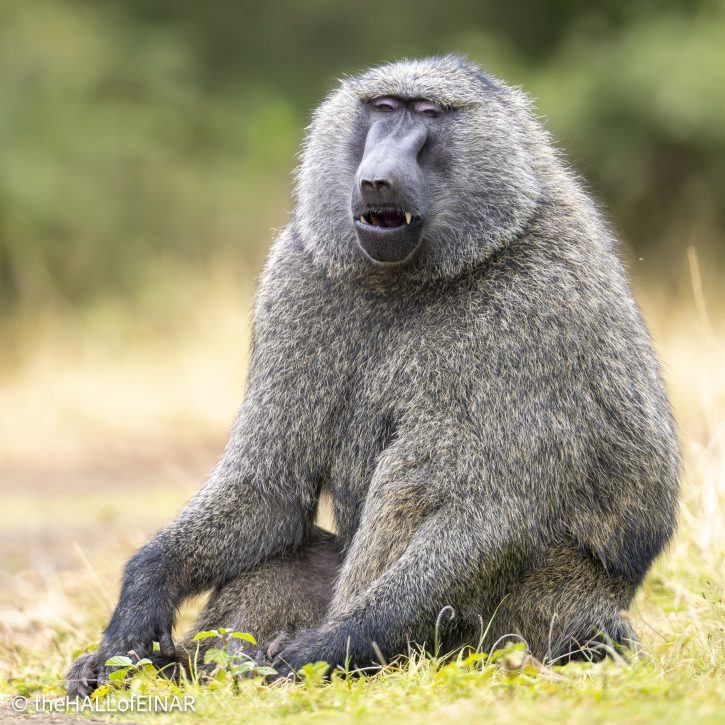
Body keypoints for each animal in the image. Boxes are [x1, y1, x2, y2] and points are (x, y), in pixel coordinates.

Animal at [66, 55, 680, 696]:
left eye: (427, 113)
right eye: (384, 109)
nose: (378, 178)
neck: (417, 276)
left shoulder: (538, 305)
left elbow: (492, 512)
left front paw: (332, 646)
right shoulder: (297, 273)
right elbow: (268, 486)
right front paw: (136, 611)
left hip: (532, 617)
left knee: (421, 469)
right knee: (290, 551)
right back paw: (186, 666)